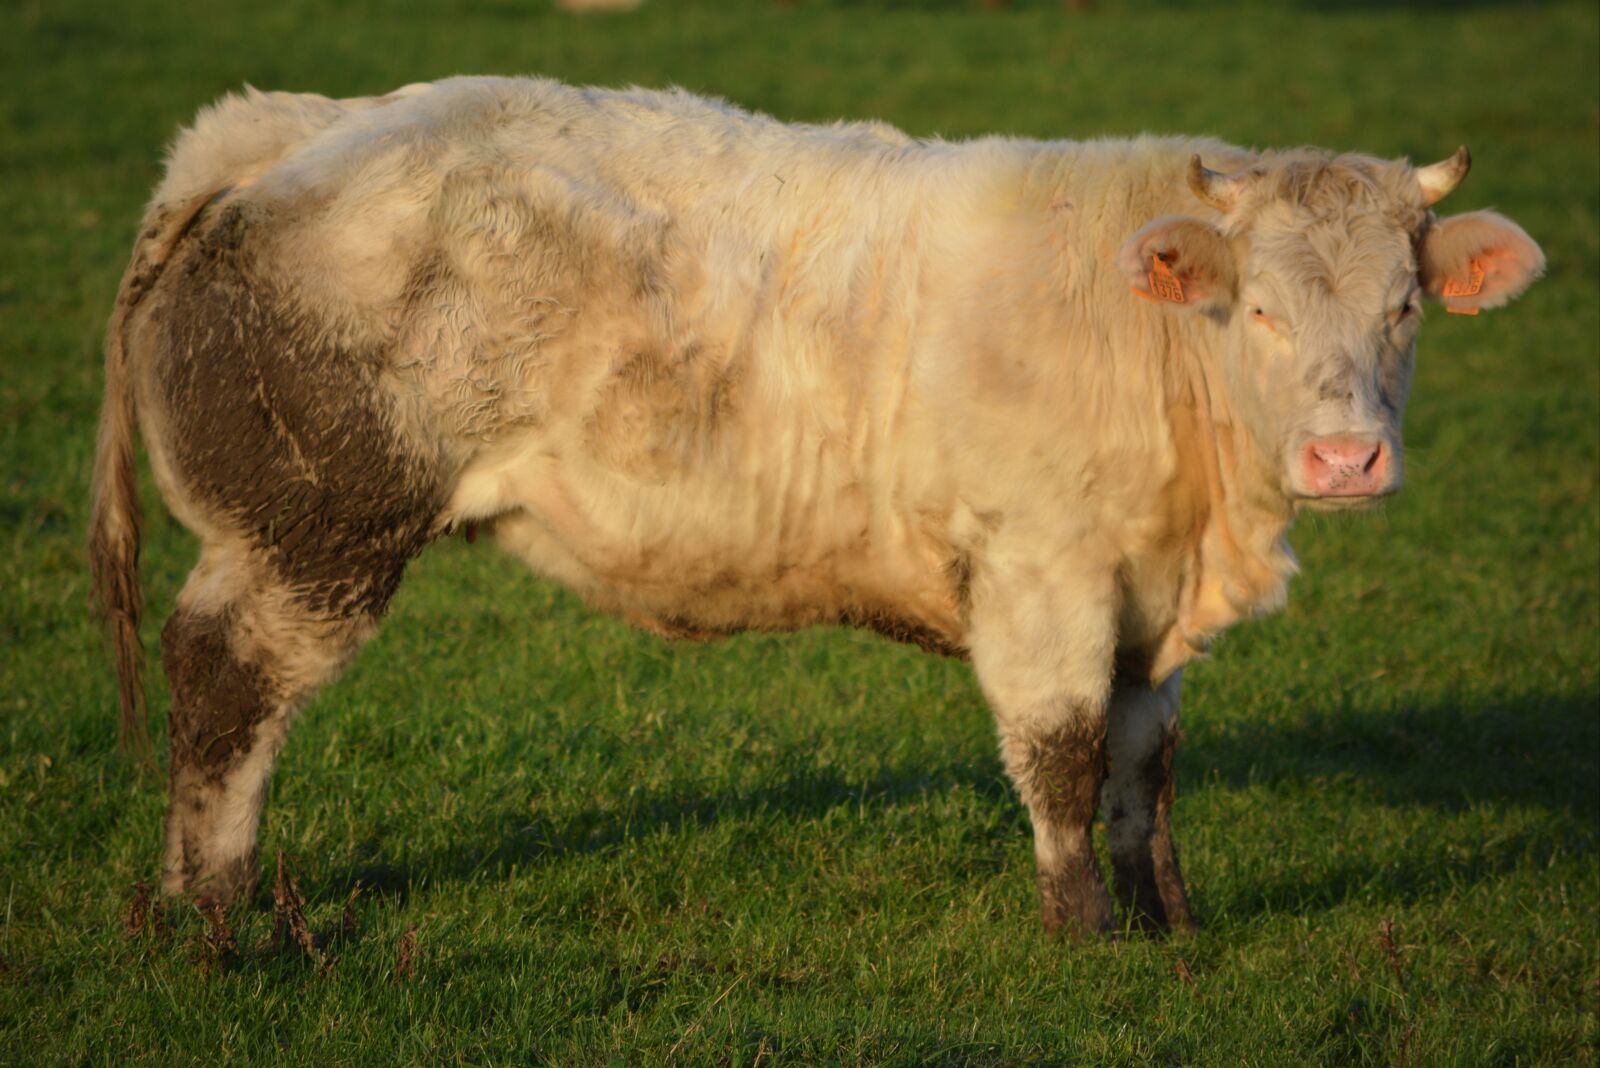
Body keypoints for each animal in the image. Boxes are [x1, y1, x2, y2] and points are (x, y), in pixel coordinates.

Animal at [89, 77, 1544, 938]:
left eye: (1404, 308)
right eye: (1259, 310)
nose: (1347, 459)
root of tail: (298, 124)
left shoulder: (1143, 599)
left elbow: (1146, 762)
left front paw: (1165, 923)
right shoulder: (1042, 574)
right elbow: (1062, 755)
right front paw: (1083, 935)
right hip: (313, 533)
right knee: (224, 682)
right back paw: (217, 919)